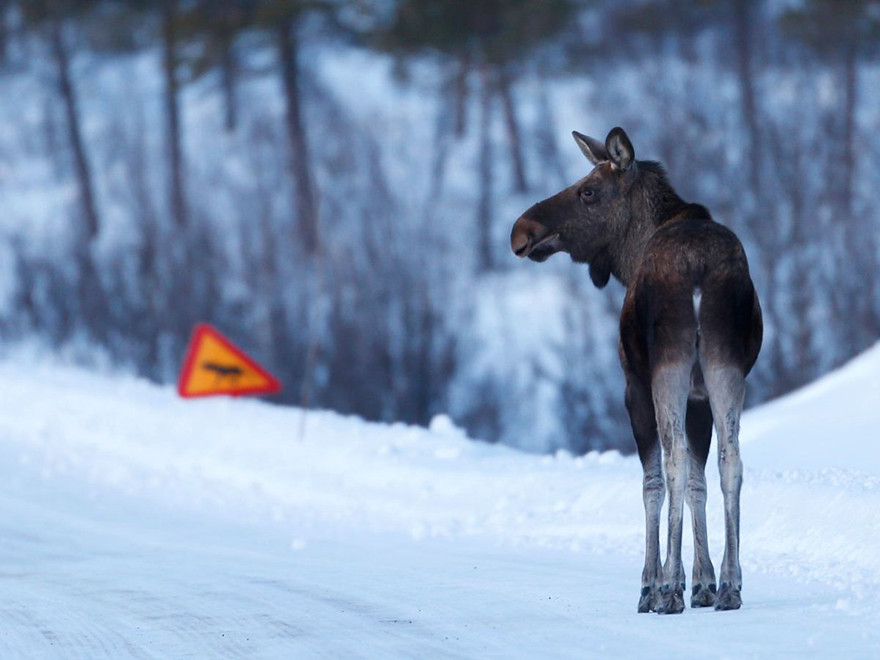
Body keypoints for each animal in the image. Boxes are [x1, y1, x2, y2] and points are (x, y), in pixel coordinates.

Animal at [508, 127, 764, 612]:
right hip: (724, 366)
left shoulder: (633, 387)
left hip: (667, 368)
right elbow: (700, 482)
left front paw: (655, 583)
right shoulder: (699, 394)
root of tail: (699, 269)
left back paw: (667, 590)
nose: (521, 230)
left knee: (673, 461)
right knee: (732, 460)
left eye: (588, 191)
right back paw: (731, 585)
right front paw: (703, 582)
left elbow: (653, 482)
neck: (629, 257)